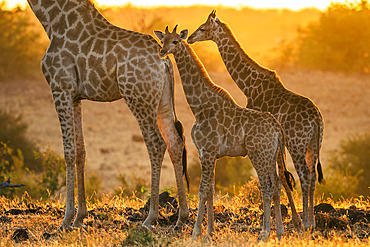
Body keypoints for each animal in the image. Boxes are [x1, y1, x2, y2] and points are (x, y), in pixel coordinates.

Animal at [26, 0, 191, 232]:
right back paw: (182, 217)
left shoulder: (60, 88)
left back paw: (150, 218)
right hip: (164, 102)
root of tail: (164, 62)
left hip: (138, 98)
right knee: (175, 143)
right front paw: (80, 217)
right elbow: (81, 151)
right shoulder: (76, 97)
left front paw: (66, 220)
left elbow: (68, 152)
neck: (52, 21)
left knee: (156, 144)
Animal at [155, 25, 296, 241]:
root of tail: (277, 128)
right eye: (163, 40)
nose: (162, 51)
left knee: (266, 185)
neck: (200, 106)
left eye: (176, 41)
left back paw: (264, 233)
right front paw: (210, 232)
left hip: (258, 154)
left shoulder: (208, 151)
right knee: (277, 183)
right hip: (271, 155)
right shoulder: (207, 153)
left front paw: (196, 233)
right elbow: (211, 189)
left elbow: (203, 190)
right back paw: (278, 232)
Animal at [189, 10, 326, 230]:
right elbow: (282, 176)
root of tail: (317, 120)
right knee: (312, 175)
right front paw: (291, 219)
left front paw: (285, 221)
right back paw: (310, 221)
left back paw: (307, 222)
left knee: (305, 175)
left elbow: (279, 177)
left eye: (203, 28)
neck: (249, 85)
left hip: (297, 143)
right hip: (313, 144)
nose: (190, 38)